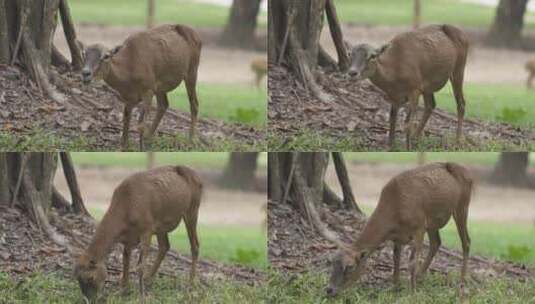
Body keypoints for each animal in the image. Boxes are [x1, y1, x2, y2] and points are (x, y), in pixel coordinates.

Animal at [73, 166, 203, 302]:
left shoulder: (147, 229)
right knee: (165, 246)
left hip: (192, 209)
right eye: (78, 279)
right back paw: (148, 279)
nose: (88, 300)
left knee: (194, 245)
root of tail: (198, 177)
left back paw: (190, 284)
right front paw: (123, 290)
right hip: (161, 225)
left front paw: (141, 296)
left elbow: (140, 265)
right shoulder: (129, 237)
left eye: (90, 278)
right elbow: (125, 260)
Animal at [326, 163, 474, 296]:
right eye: (332, 262)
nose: (329, 290)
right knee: (436, 242)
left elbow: (412, 261)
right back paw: (420, 277)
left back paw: (462, 283)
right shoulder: (397, 236)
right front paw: (395, 288)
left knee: (466, 241)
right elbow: (395, 259)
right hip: (432, 222)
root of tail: (470, 175)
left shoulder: (419, 226)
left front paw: (412, 293)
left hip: (462, 205)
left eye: (350, 266)